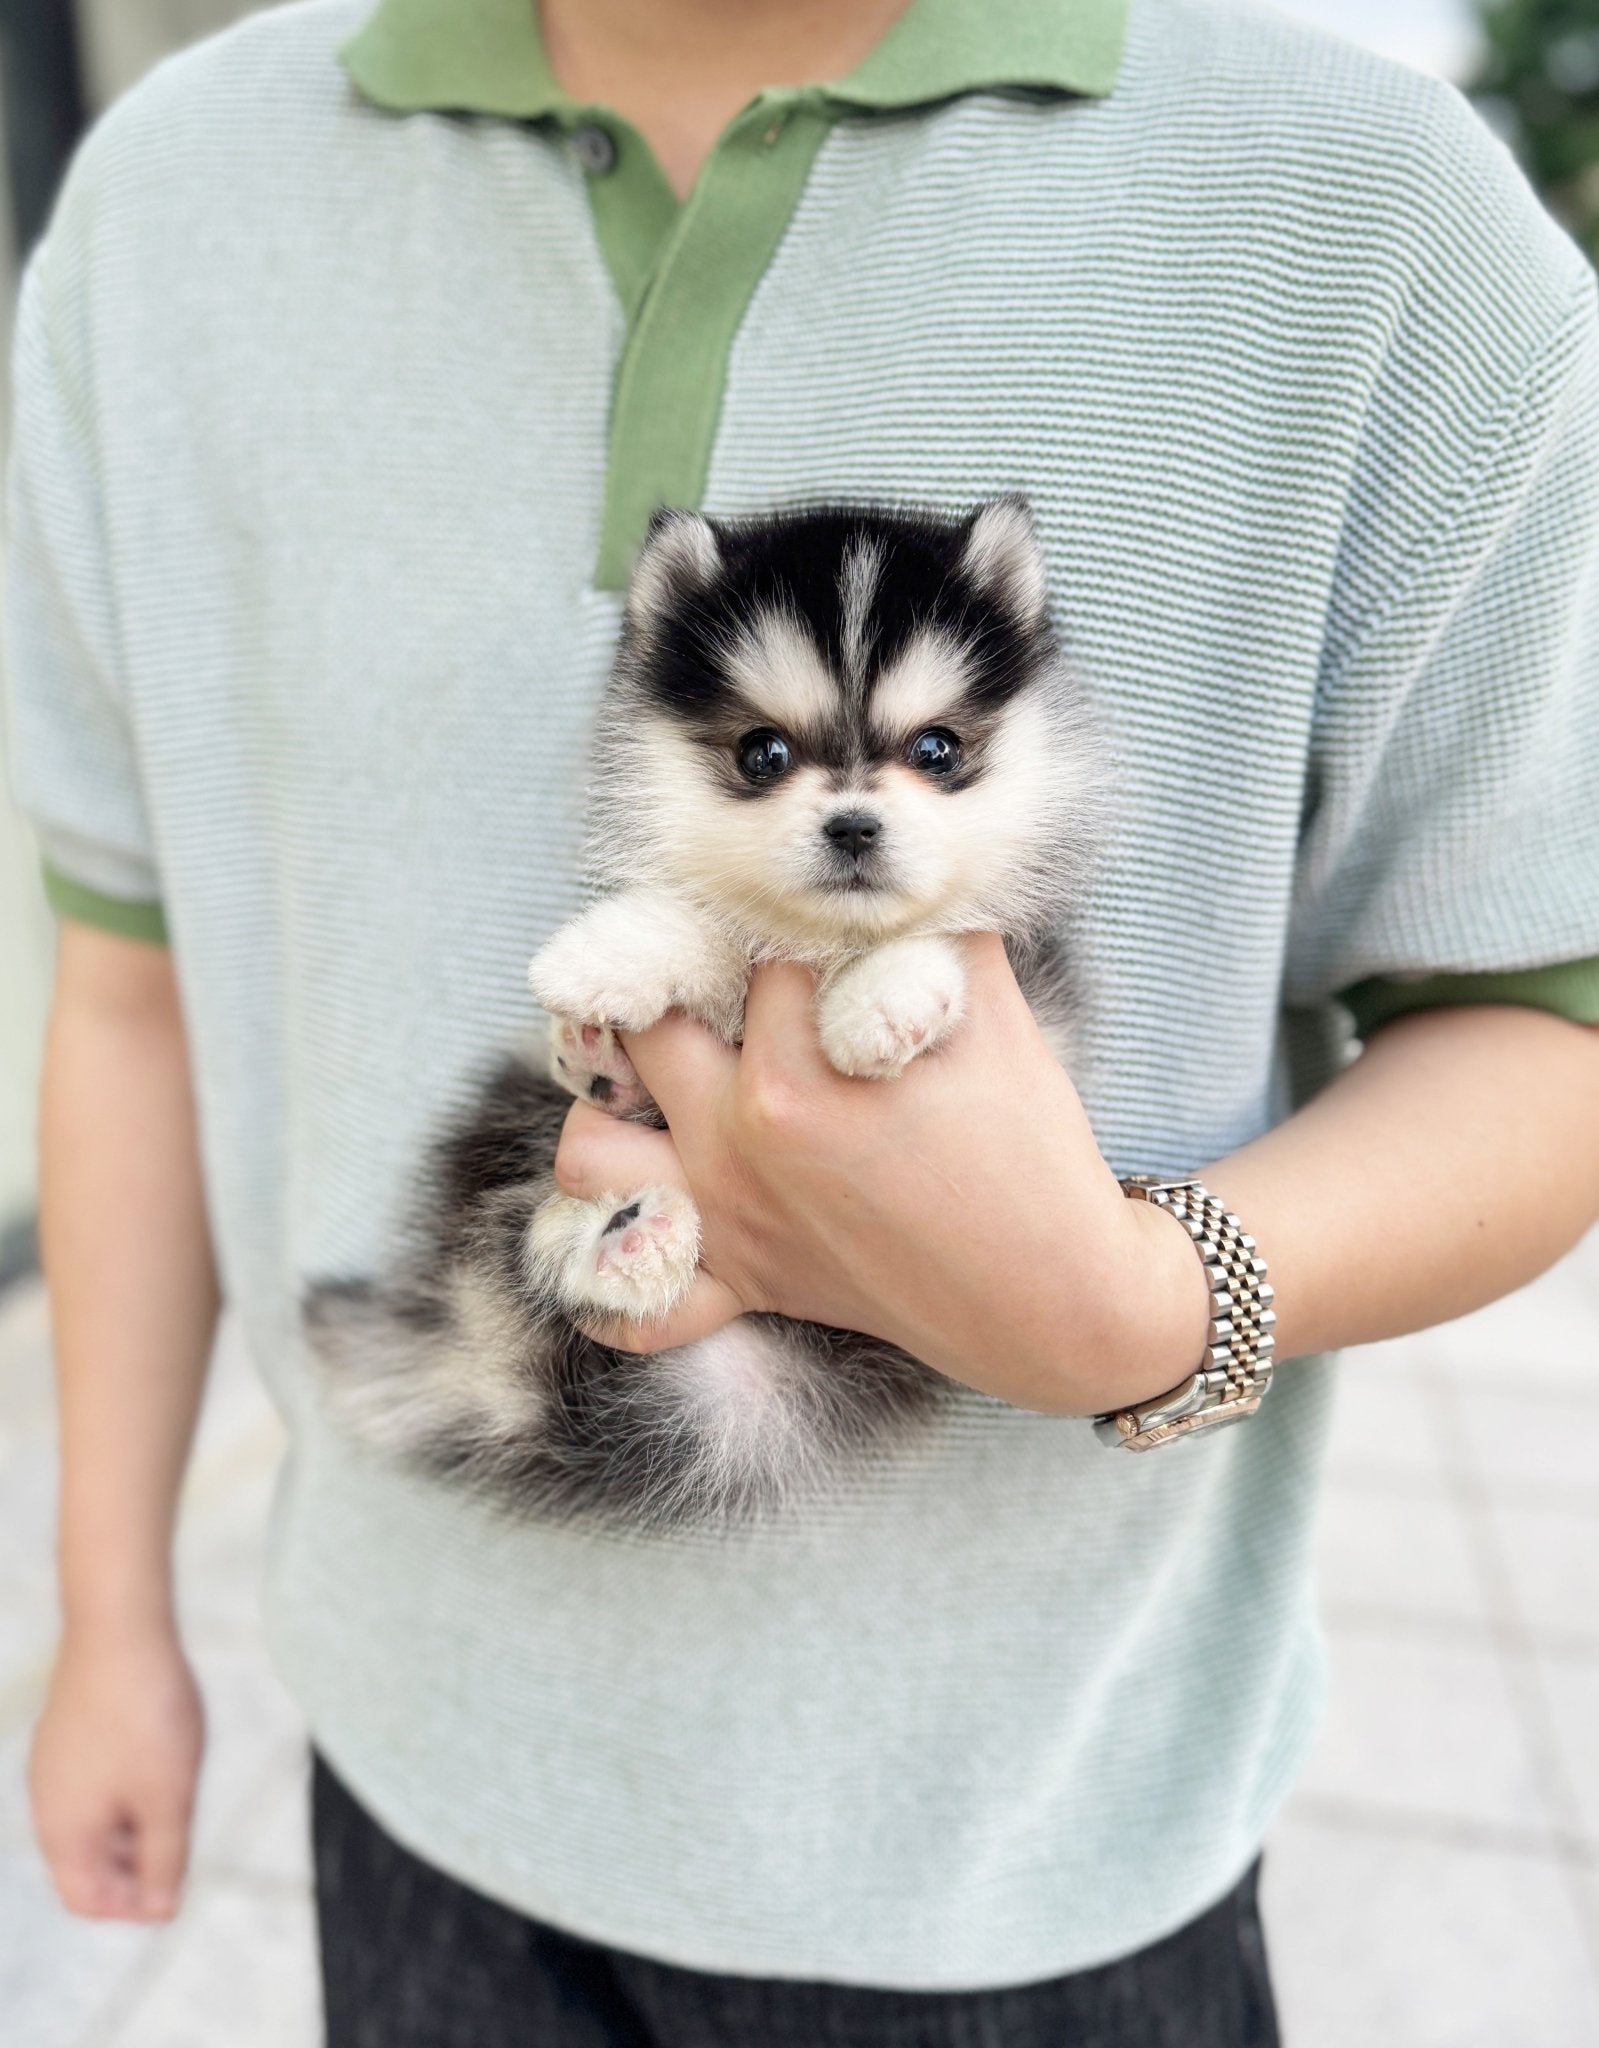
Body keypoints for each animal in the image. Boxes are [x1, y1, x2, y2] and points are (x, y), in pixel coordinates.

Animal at [305, 491, 1097, 1523]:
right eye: (762, 752)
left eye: (937, 748)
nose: (852, 825)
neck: (820, 939)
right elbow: (708, 926)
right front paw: (610, 954)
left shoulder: (1043, 1009)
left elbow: (947, 933)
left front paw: (879, 1001)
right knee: (526, 1248)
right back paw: (611, 1182)